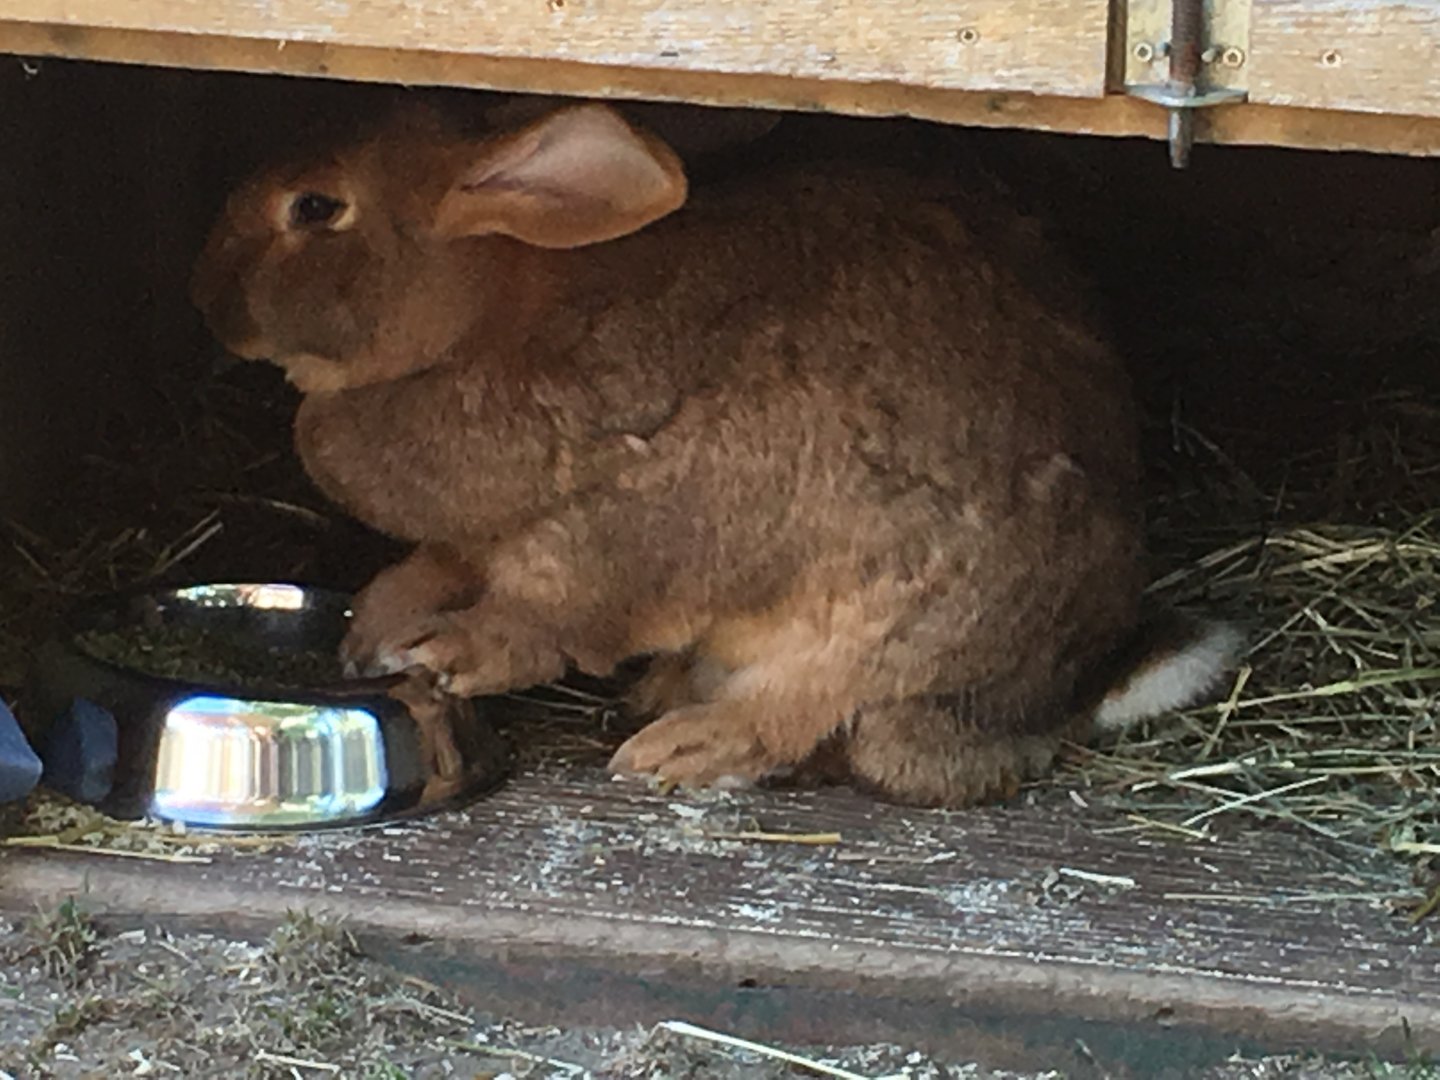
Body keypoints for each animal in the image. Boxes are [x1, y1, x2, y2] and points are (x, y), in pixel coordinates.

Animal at [190, 100, 1241, 807]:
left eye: (315, 209)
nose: (212, 304)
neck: (486, 318)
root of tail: (1072, 690)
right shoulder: (473, 540)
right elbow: (436, 564)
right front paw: (373, 631)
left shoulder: (624, 527)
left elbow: (544, 613)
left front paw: (445, 657)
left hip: (901, 628)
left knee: (814, 718)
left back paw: (680, 746)